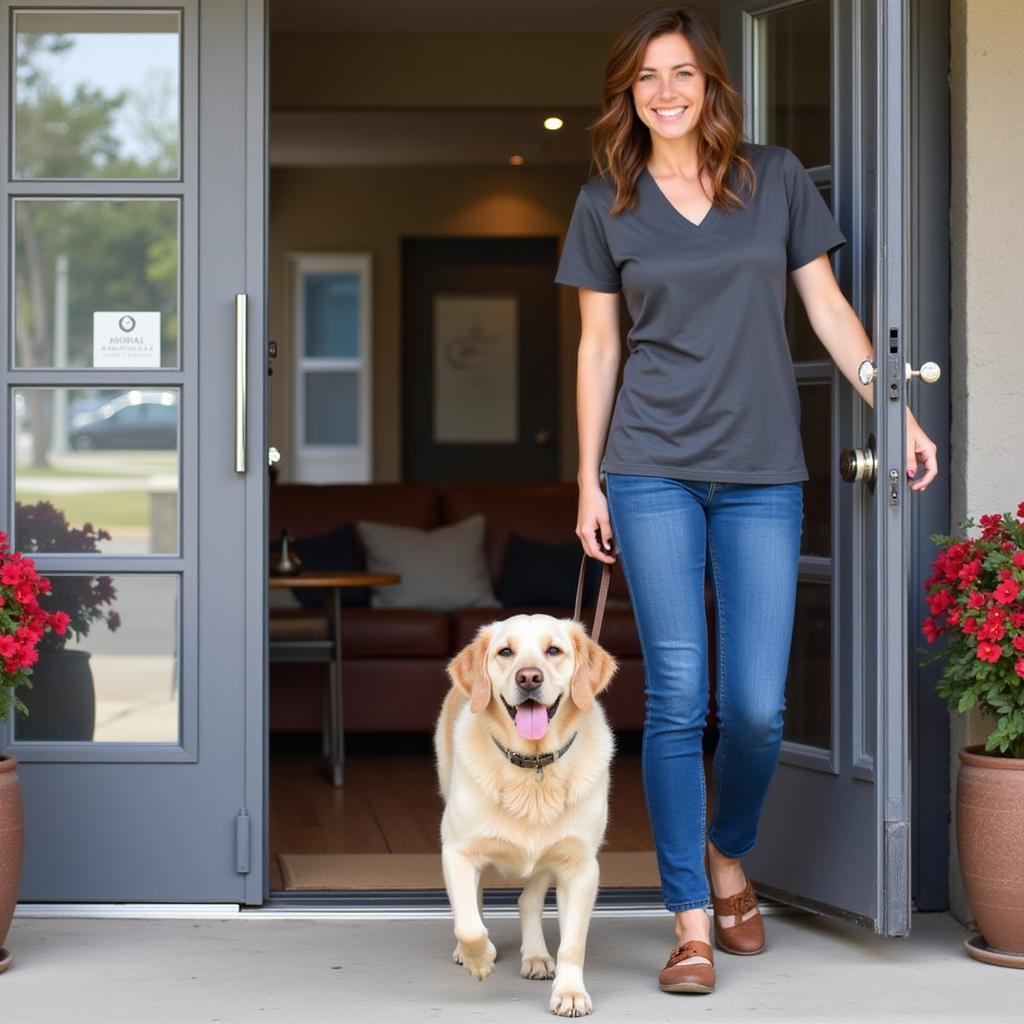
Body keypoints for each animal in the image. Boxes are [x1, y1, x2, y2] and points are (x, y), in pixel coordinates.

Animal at [434, 614, 614, 1015]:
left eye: (554, 650)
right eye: (505, 652)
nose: (529, 677)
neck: (533, 765)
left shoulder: (581, 867)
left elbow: (573, 943)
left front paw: (570, 992)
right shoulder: (457, 851)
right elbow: (468, 922)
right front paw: (479, 958)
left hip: (547, 855)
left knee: (527, 900)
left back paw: (535, 956)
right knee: (473, 901)